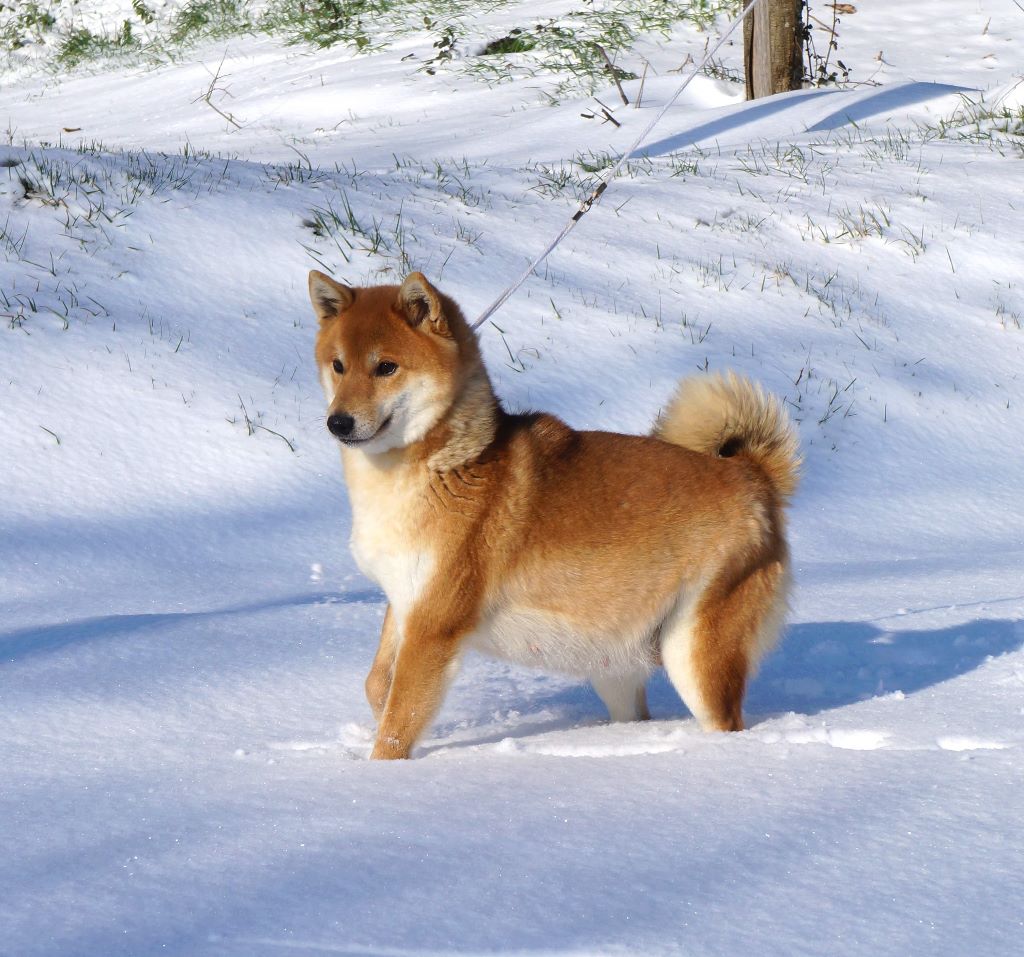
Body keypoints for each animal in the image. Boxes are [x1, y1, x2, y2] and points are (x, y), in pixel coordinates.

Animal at [307, 272, 802, 761]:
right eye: (338, 366)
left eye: (386, 367)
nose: (338, 423)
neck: (443, 466)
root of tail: (752, 474)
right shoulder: (406, 601)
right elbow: (378, 686)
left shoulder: (434, 625)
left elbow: (398, 725)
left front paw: (382, 771)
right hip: (617, 666)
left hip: (694, 655)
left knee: (725, 722)